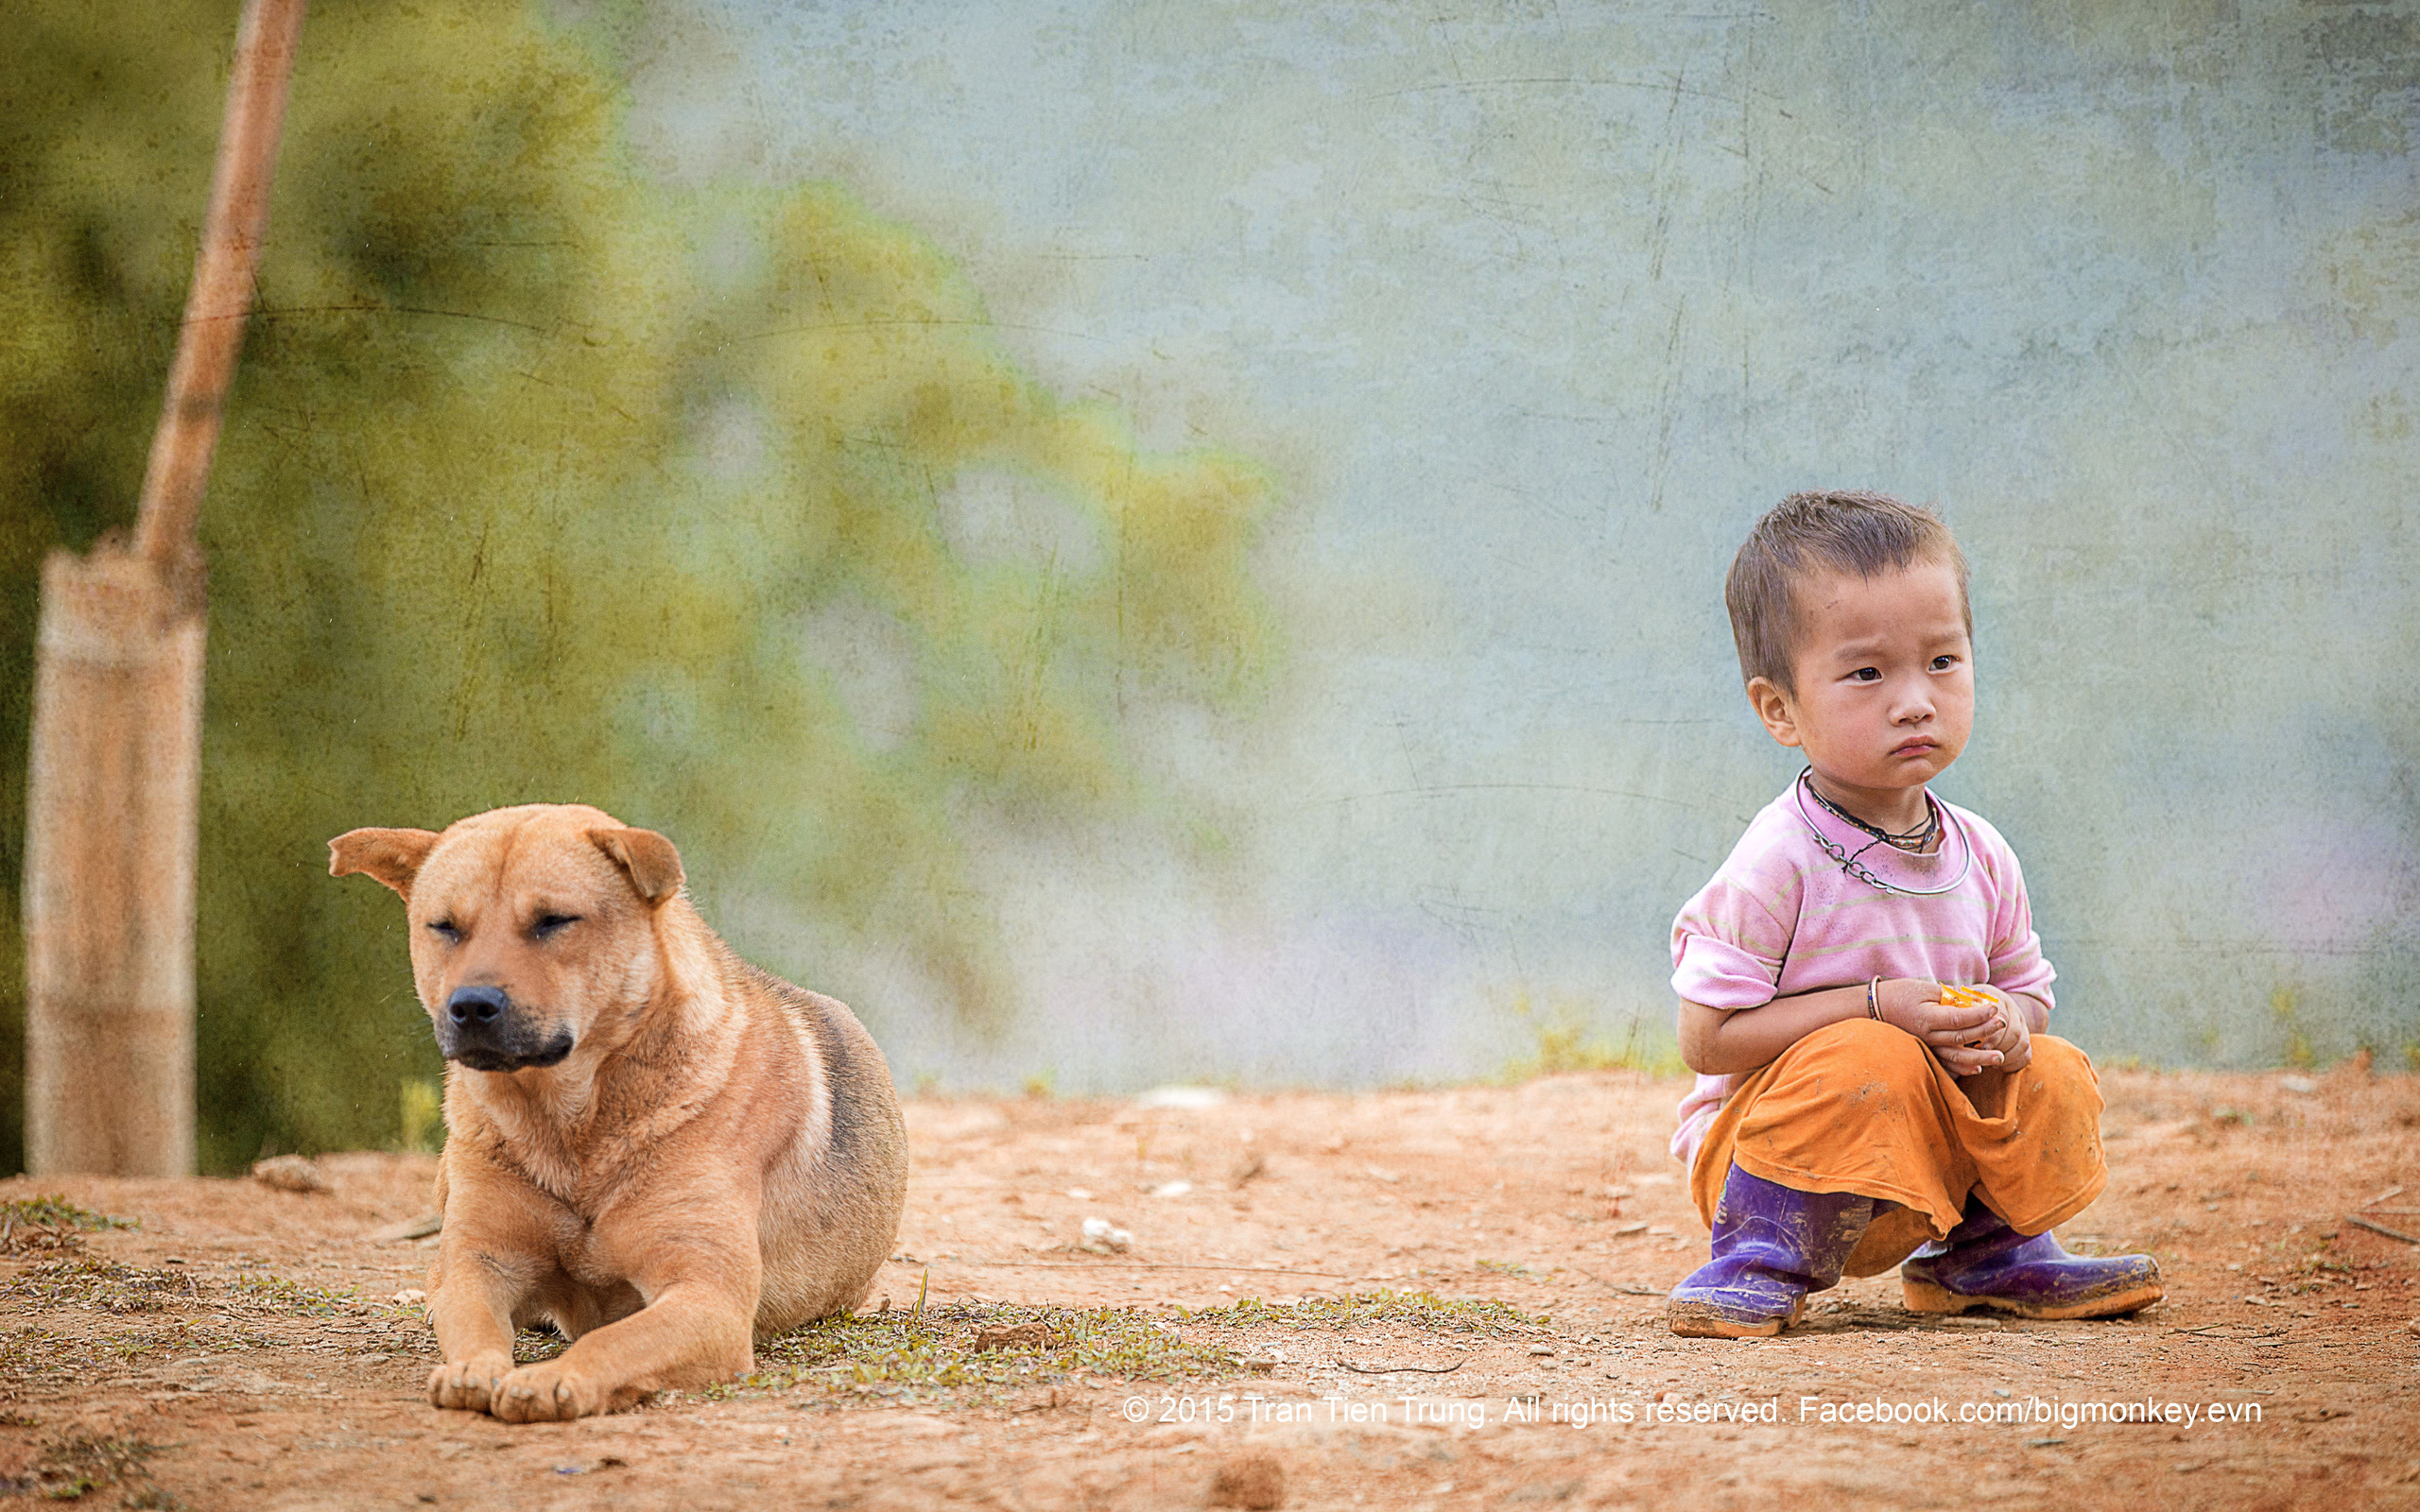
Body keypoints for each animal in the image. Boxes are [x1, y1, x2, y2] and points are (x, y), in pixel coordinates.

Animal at [331, 802, 909, 1413]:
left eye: (554, 920)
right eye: (443, 927)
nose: (470, 1006)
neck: (569, 1128)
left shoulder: (707, 1297)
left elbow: (611, 1341)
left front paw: (553, 1380)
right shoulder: (480, 1261)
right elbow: (474, 1324)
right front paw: (473, 1370)